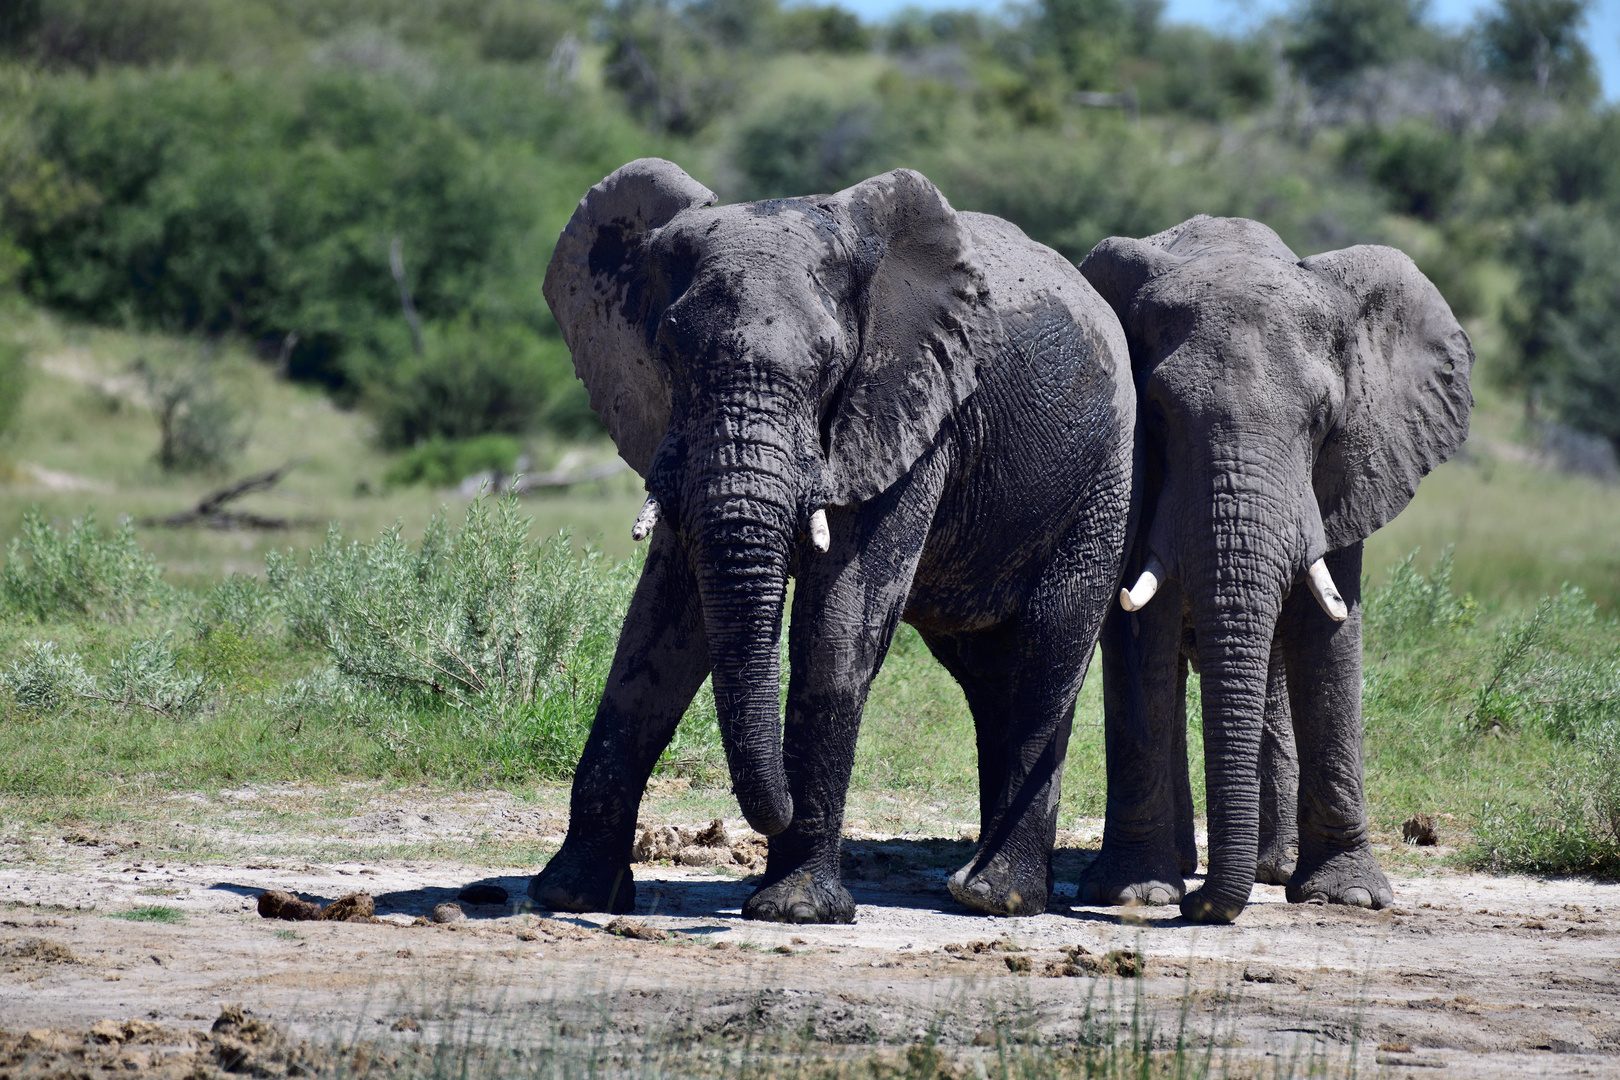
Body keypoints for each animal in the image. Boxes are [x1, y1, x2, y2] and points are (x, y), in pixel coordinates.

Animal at [524, 158, 1134, 919]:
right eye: (666, 352)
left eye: (827, 365)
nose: (756, 818)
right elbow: (660, 631)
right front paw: (569, 894)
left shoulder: (909, 411)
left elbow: (838, 626)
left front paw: (793, 909)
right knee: (993, 674)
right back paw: (984, 885)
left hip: (1105, 471)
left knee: (1049, 645)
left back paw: (992, 896)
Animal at [1069, 215, 1477, 926]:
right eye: (1160, 414)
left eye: (1321, 420)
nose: (1200, 907)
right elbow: (1139, 637)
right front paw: (1134, 894)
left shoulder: (1351, 473)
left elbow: (1329, 636)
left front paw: (1346, 897)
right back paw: (1184, 868)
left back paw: (1271, 868)